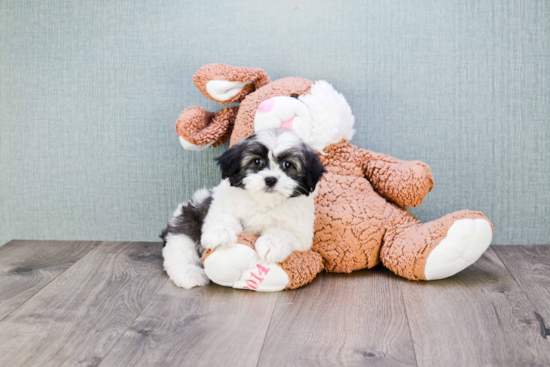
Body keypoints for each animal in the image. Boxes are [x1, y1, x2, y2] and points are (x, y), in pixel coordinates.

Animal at [164, 130, 328, 290]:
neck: (264, 202)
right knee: (180, 252)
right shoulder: (217, 208)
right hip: (185, 225)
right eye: (257, 161)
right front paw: (220, 233)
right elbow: (225, 217)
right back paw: (189, 274)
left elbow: (283, 232)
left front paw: (270, 244)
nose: (270, 179)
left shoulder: (302, 234)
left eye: (287, 164)